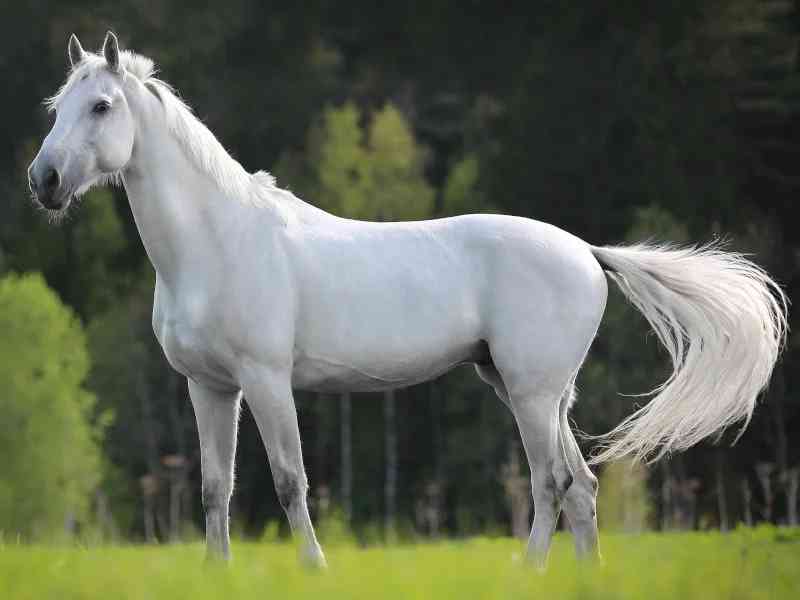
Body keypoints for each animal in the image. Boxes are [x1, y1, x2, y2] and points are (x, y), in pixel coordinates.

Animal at [28, 32, 787, 569]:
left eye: (102, 106)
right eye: (57, 108)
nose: (45, 180)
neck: (217, 241)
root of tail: (587, 252)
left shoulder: (267, 381)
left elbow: (290, 481)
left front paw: (316, 569)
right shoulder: (210, 387)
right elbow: (218, 490)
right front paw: (218, 575)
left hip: (533, 392)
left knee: (550, 484)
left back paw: (529, 572)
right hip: (527, 389)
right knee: (582, 487)